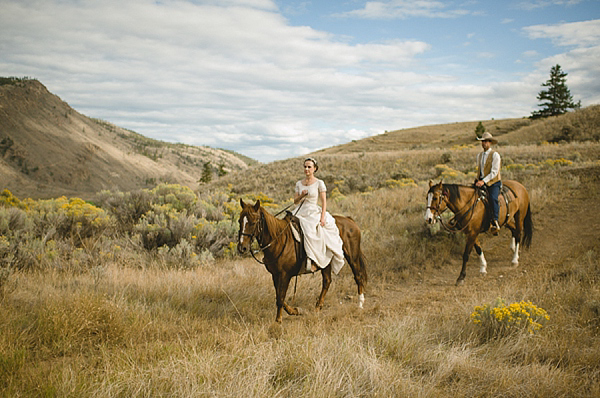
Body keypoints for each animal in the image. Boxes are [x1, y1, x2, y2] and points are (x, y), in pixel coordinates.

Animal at [237, 199, 368, 324]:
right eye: (239, 221)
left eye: (253, 222)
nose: (242, 248)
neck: (279, 240)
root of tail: (350, 220)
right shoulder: (275, 275)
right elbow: (279, 296)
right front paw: (295, 311)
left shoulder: (285, 275)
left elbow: (281, 297)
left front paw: (278, 320)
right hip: (326, 262)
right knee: (327, 281)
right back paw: (318, 307)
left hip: (352, 256)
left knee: (358, 276)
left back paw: (360, 304)